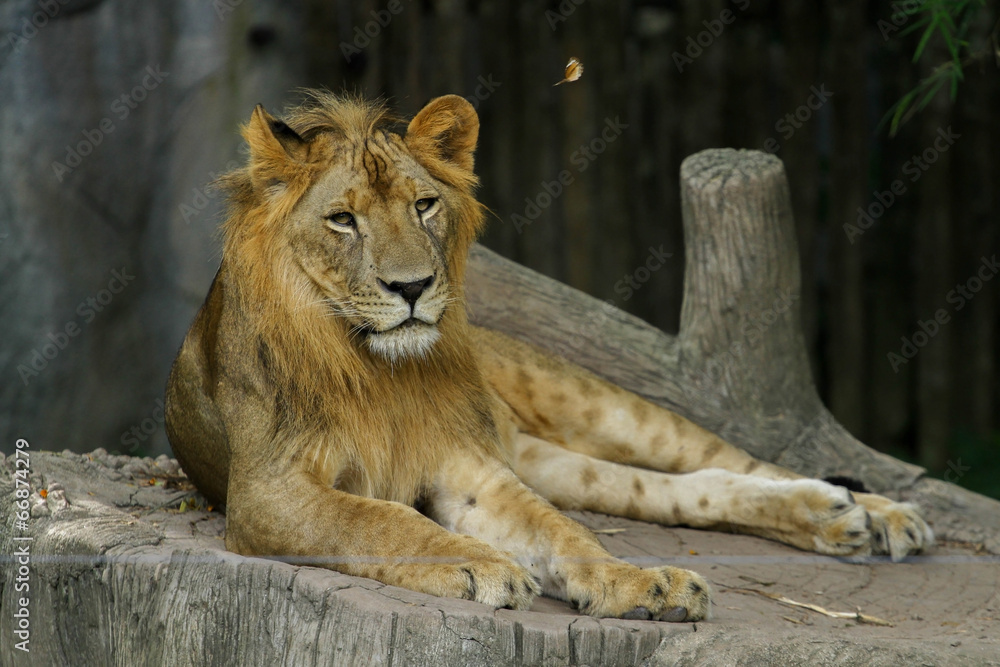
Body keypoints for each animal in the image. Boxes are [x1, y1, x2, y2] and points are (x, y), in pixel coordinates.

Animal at [164, 91, 932, 623]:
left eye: (424, 205)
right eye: (342, 220)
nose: (412, 288)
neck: (379, 368)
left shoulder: (470, 470)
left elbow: (564, 533)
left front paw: (636, 582)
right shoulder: (268, 491)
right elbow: (381, 519)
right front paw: (485, 565)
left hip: (598, 408)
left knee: (729, 459)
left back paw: (874, 514)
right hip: (551, 459)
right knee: (681, 489)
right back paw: (836, 515)